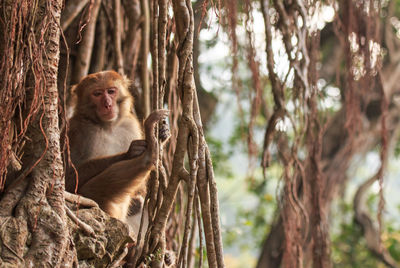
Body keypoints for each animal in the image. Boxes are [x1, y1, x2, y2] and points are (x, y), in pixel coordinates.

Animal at [64, 69, 169, 222]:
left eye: (111, 91)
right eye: (97, 94)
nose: (107, 104)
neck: (108, 126)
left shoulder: (130, 125)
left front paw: (163, 132)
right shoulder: (77, 130)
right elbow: (69, 179)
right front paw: (130, 152)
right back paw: (149, 153)